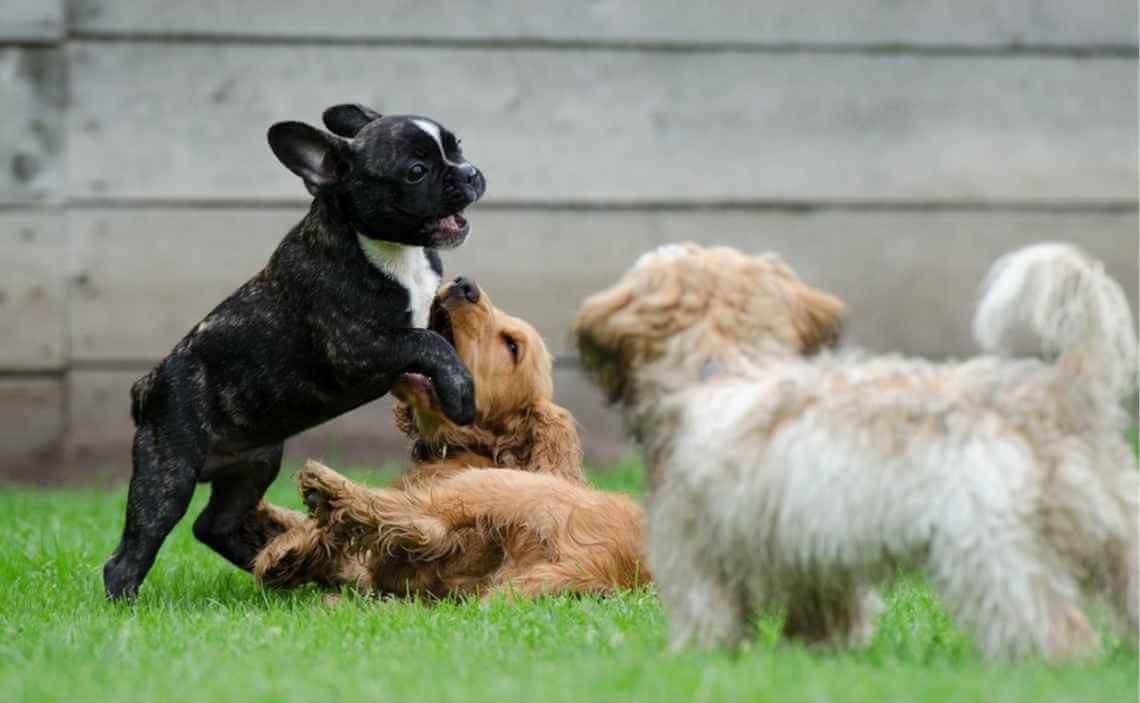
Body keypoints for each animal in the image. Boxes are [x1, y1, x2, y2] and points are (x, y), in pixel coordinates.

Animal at [250, 276, 652, 597]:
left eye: (512, 346)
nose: (464, 284)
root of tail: (598, 563)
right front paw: (271, 519)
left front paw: (288, 542)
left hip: (490, 487)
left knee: (422, 522)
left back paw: (324, 492)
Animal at [574, 242, 1135, 656]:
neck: (725, 366)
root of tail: (1061, 392)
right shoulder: (815, 556)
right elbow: (827, 613)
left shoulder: (696, 550)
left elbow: (707, 613)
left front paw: (698, 658)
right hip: (1120, 540)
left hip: (993, 552)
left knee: (1052, 625)